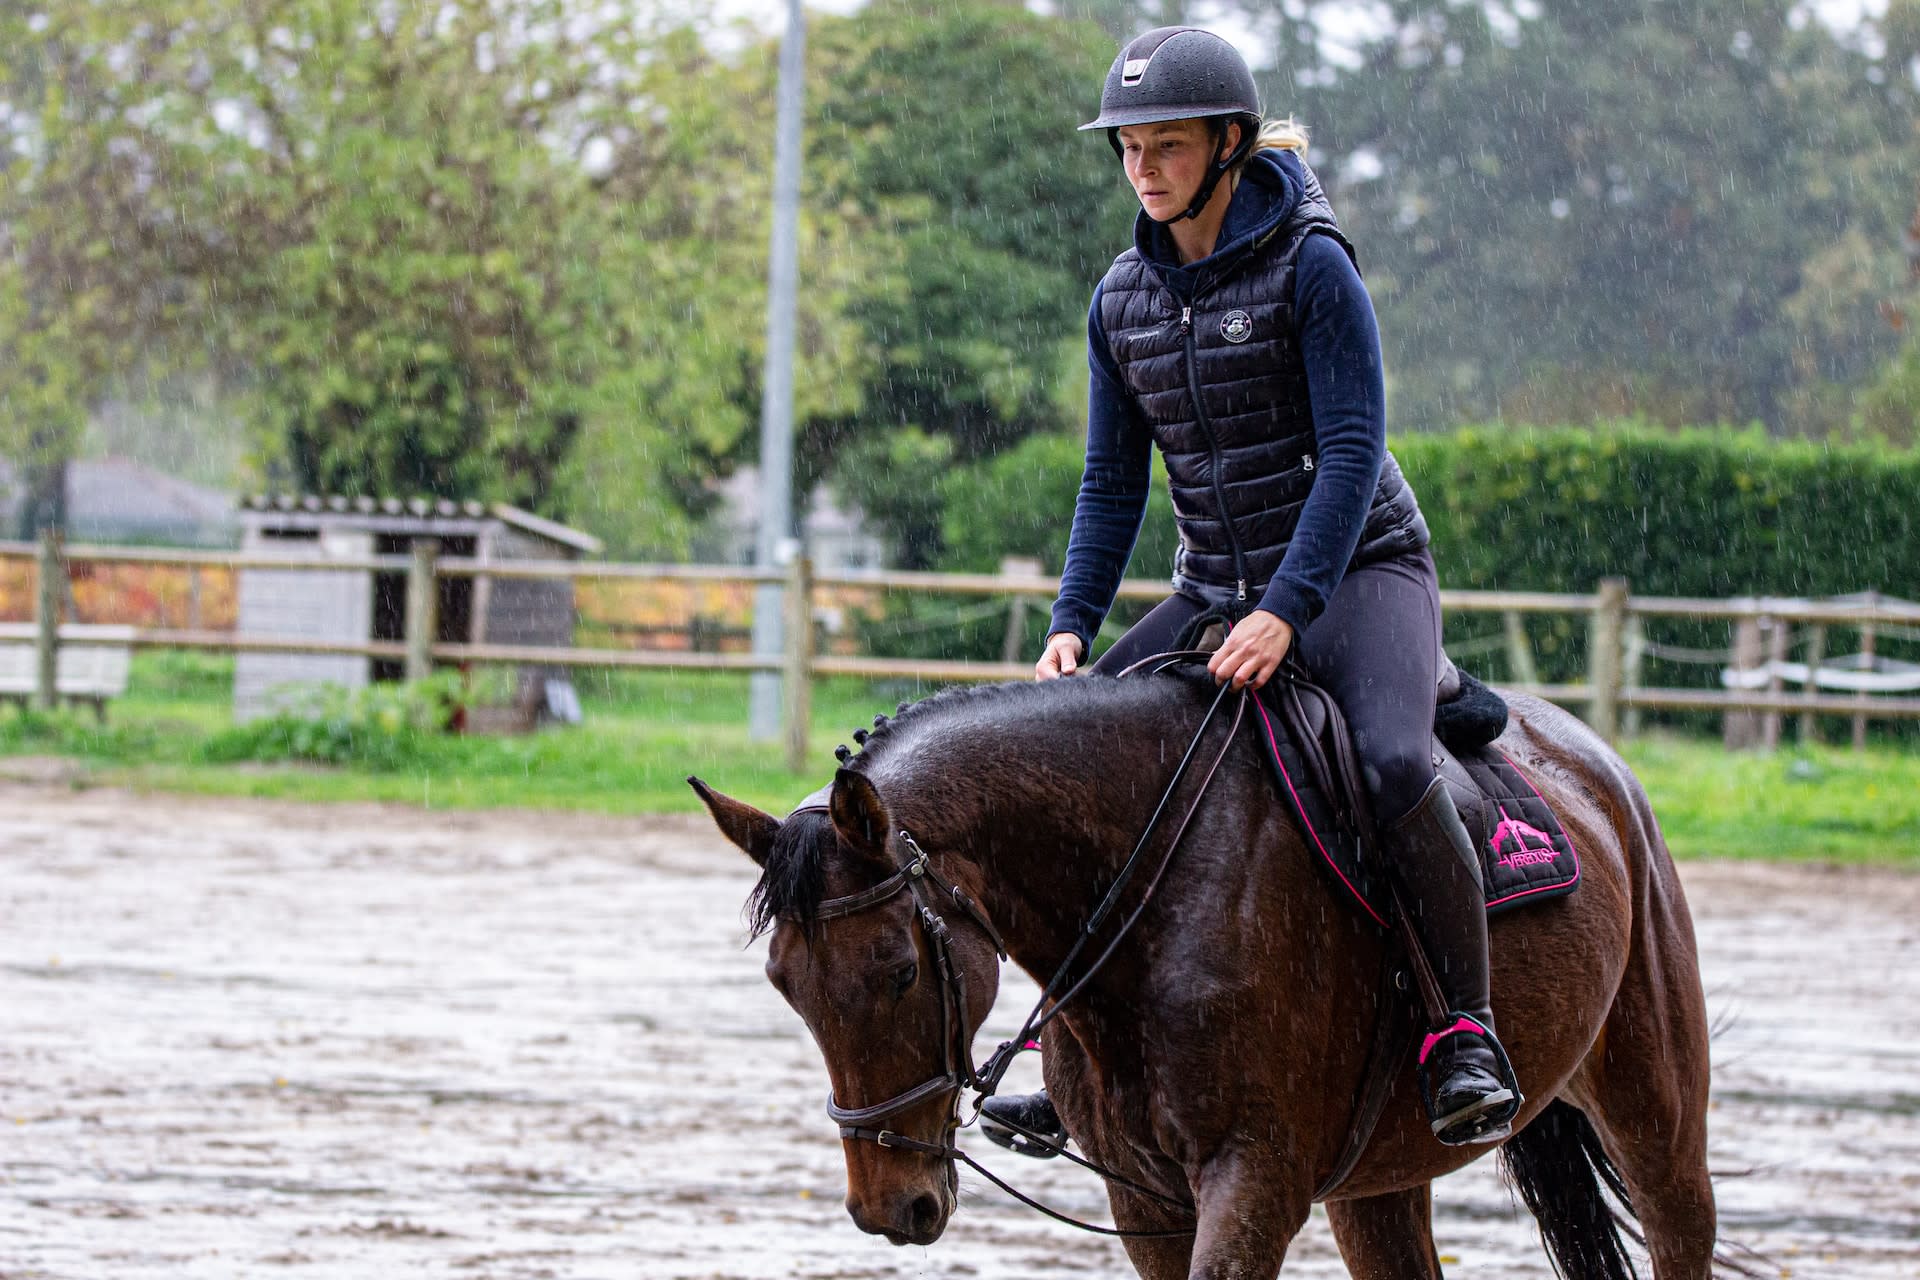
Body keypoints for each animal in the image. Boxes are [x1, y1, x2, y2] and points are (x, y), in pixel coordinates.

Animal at [691, 675, 1712, 1274]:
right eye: (785, 986)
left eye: (901, 971)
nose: (890, 1206)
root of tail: (1590, 757)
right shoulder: (1144, 1198)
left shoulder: (1252, 1182)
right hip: (1378, 1183)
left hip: (1654, 1112)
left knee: (1679, 1223)